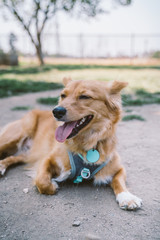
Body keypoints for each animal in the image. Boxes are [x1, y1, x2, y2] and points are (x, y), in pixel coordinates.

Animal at [0, 79, 142, 210]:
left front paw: (127, 197)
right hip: (14, 137)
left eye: (84, 96)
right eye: (63, 95)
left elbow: (119, 181)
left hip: (29, 152)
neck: (87, 143)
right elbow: (42, 181)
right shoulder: (47, 159)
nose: (56, 111)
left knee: (14, 157)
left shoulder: (118, 167)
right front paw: (54, 183)